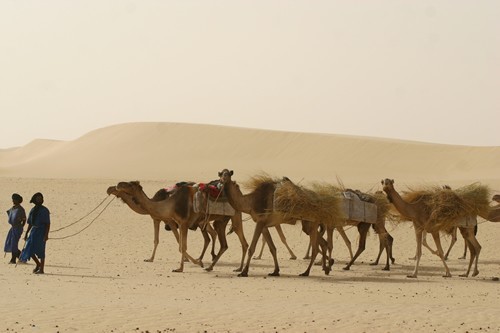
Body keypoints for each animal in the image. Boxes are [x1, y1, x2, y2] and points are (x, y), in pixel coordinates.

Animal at [112, 182, 247, 272]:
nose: (117, 185)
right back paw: (227, 267)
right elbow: (179, 244)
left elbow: (182, 246)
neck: (169, 204)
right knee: (235, 242)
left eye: (130, 185)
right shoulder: (176, 222)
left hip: (229, 217)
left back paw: (213, 265)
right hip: (220, 220)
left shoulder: (182, 223)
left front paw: (181, 268)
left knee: (226, 241)